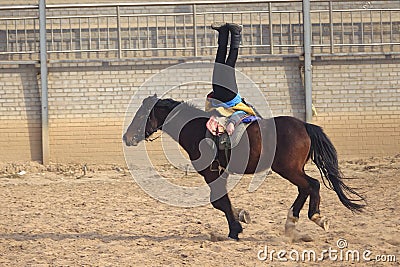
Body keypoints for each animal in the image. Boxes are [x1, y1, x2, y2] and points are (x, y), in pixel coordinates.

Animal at [122, 96, 366, 241]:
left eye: (142, 115)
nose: (127, 137)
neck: (198, 130)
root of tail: (305, 125)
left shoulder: (211, 173)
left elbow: (219, 202)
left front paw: (235, 228)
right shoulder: (218, 173)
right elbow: (223, 201)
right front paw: (240, 218)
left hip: (289, 169)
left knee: (312, 185)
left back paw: (316, 217)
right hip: (292, 170)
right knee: (305, 188)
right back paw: (291, 223)